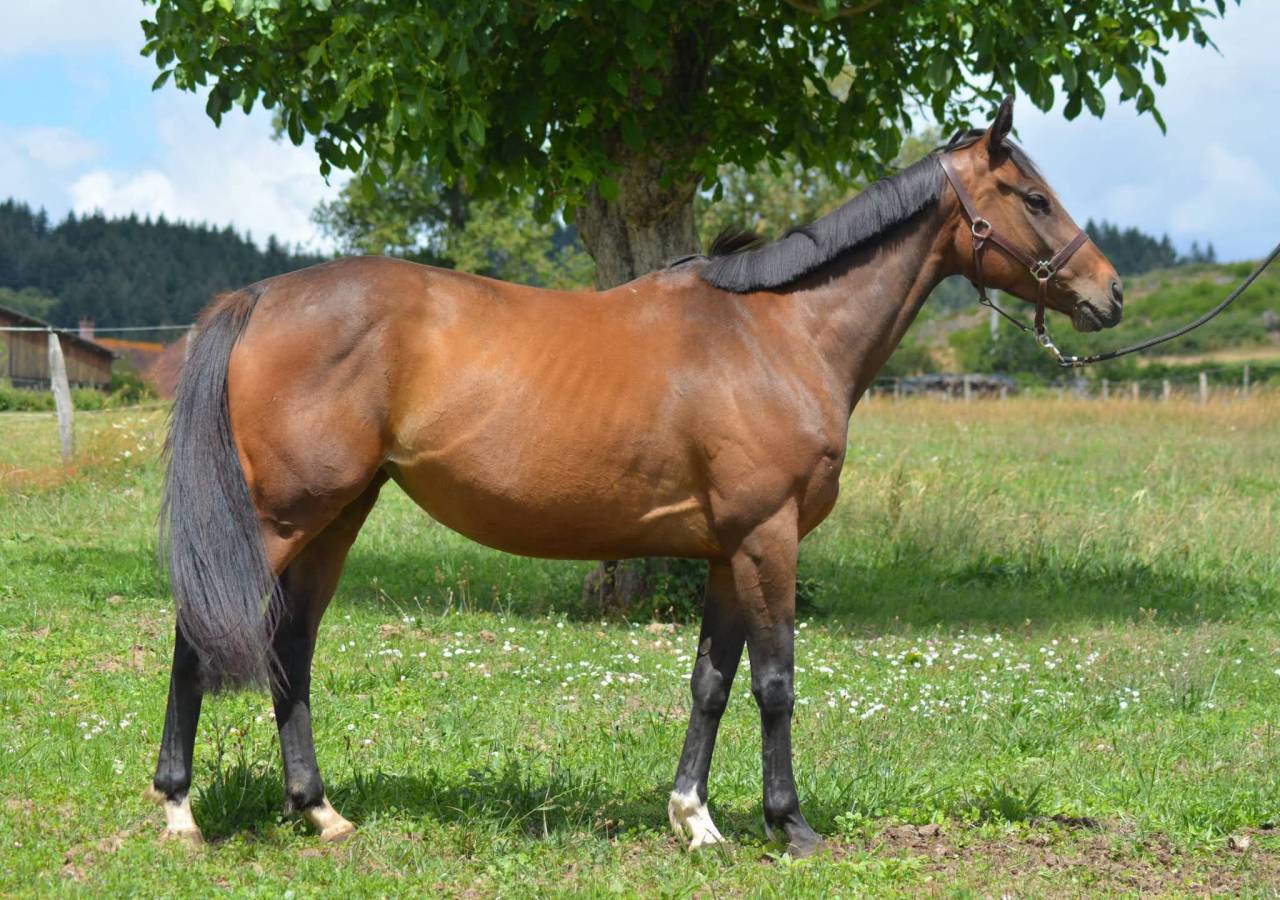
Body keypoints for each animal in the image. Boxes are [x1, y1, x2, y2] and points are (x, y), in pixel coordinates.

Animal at [147, 97, 1123, 855]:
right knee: (200, 639)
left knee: (291, 647)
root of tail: (260, 298)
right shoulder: (767, 539)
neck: (777, 335)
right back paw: (182, 813)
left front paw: (696, 819)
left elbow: (712, 683)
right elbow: (775, 682)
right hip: (276, 520)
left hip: (336, 517)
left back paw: (319, 812)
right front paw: (790, 824)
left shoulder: (728, 550)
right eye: (1033, 196)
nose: (1109, 294)